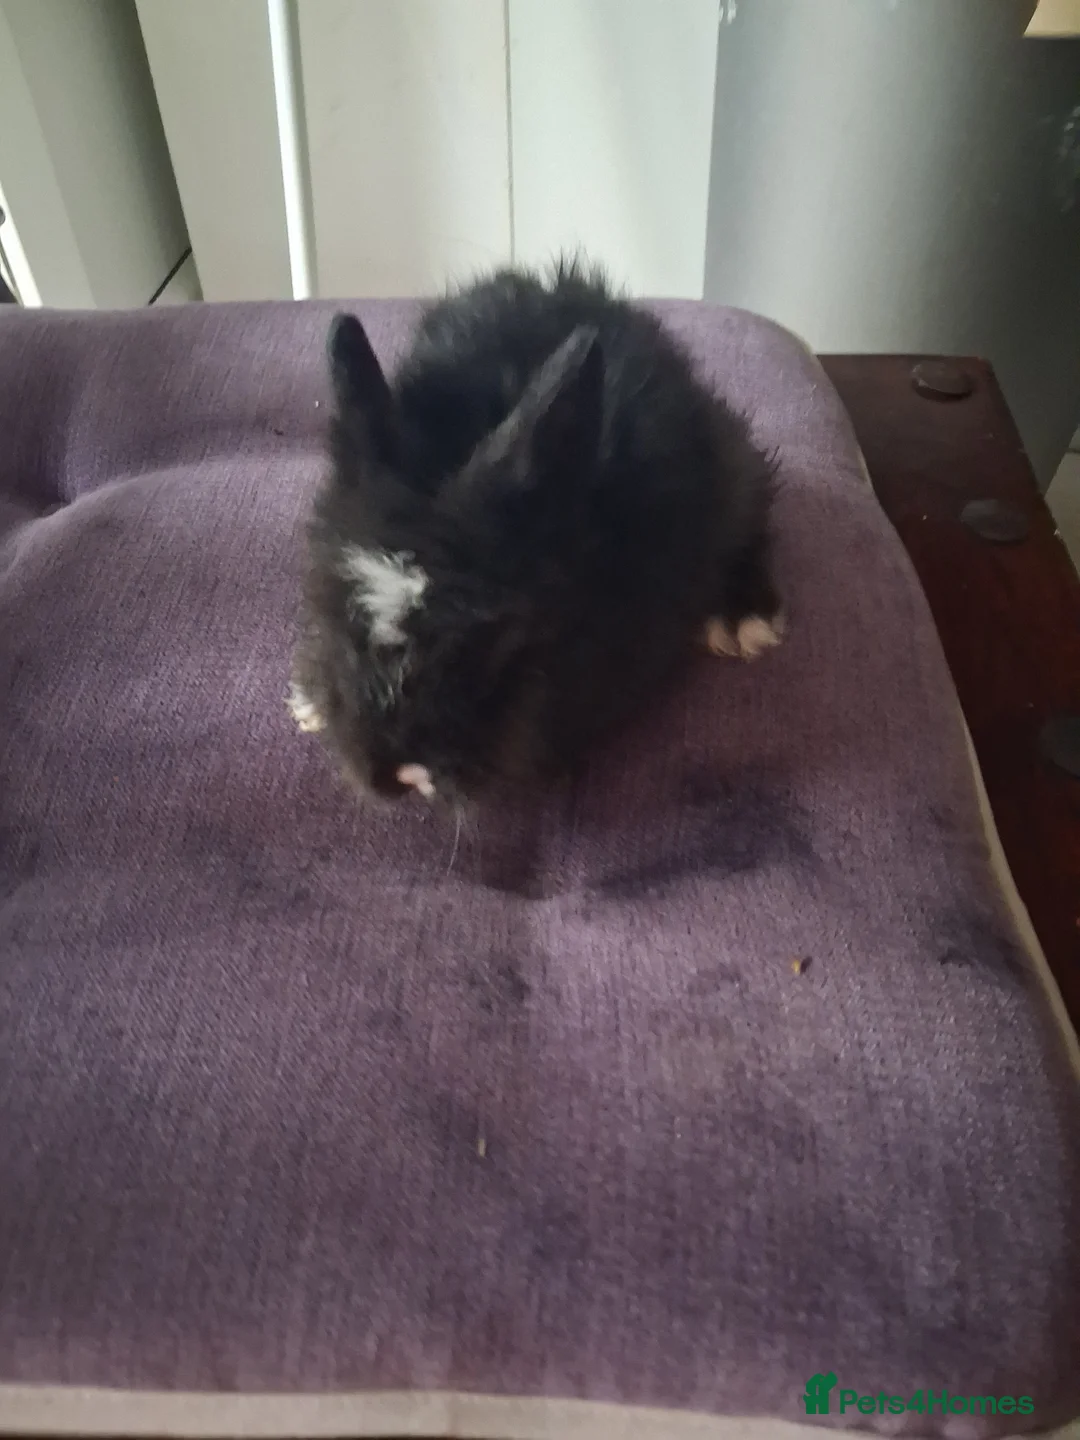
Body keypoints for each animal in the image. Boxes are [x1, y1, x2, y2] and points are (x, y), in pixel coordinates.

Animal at [289, 258, 781, 803]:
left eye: (493, 645)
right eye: (337, 619)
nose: (402, 773)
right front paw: (310, 700)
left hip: (734, 467)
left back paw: (743, 621)